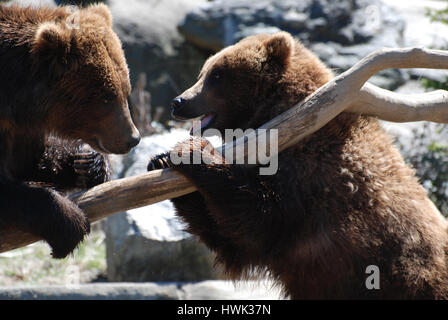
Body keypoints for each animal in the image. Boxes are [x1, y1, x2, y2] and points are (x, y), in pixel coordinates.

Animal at [0, 3, 140, 258]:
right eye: (106, 97)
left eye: (126, 90)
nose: (132, 138)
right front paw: (71, 223)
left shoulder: (21, 130)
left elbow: (33, 161)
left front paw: (88, 163)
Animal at [149, 31, 448, 298]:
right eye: (204, 71)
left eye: (217, 75)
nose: (178, 102)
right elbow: (232, 239)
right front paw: (159, 160)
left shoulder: (314, 185)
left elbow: (257, 222)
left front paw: (192, 152)